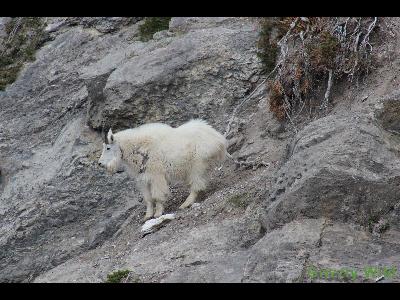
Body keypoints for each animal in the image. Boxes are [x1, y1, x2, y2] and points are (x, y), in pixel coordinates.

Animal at [97, 119, 228, 220]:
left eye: (108, 148)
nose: (100, 163)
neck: (136, 148)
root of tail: (218, 138)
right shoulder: (143, 179)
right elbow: (148, 199)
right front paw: (147, 216)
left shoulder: (156, 176)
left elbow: (157, 196)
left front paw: (158, 213)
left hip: (197, 165)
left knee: (196, 185)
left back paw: (185, 204)